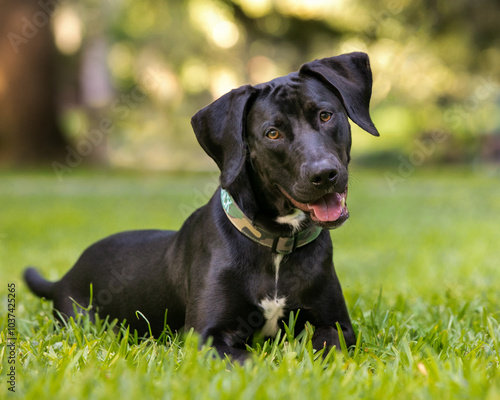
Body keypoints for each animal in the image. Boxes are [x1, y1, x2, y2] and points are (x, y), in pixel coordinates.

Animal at [24, 51, 378, 360]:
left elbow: (328, 348)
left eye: (325, 115)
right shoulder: (206, 336)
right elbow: (251, 361)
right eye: (273, 133)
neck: (276, 243)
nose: (324, 174)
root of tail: (64, 278)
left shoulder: (334, 325)